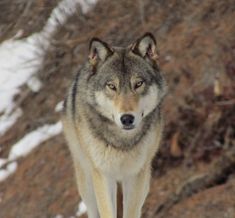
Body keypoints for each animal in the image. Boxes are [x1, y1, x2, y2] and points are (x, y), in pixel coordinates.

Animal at [61, 32, 166, 218]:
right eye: (111, 86)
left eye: (138, 84)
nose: (127, 118)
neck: (122, 142)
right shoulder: (102, 174)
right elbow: (107, 211)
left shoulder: (136, 175)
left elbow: (131, 211)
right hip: (86, 180)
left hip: (145, 180)